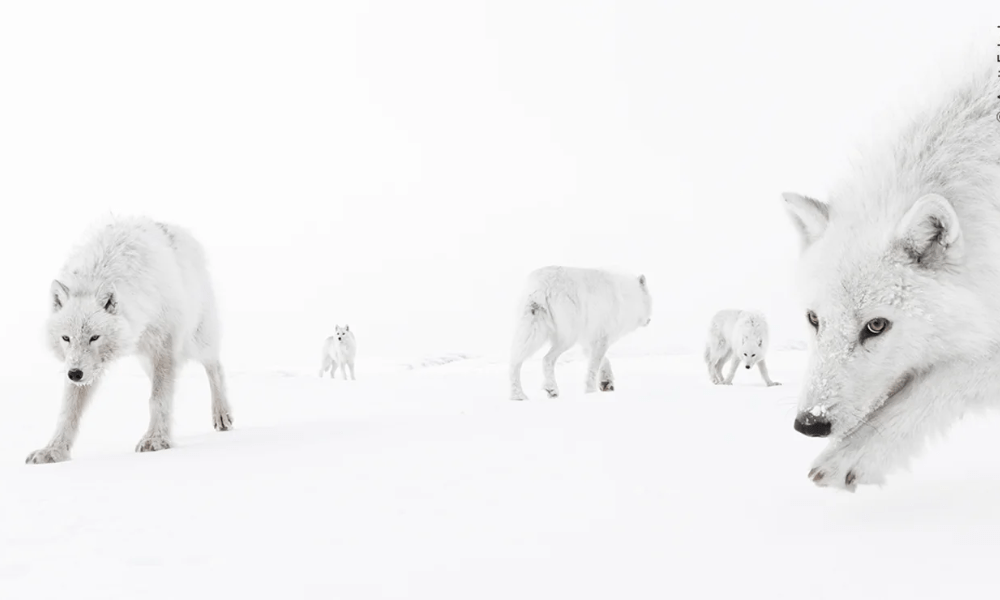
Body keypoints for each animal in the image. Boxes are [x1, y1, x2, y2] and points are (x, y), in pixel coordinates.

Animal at [26, 217, 234, 464]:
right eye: (66, 338)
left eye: (94, 337)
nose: (74, 374)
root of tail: (176, 228)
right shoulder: (82, 367)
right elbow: (68, 411)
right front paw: (53, 451)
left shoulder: (164, 347)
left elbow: (158, 399)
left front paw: (155, 439)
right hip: (146, 360)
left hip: (196, 340)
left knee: (215, 366)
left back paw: (222, 414)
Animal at [508, 266, 652, 401]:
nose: (649, 320)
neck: (628, 296)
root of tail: (542, 284)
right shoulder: (602, 340)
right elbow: (594, 367)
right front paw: (591, 392)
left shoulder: (589, 342)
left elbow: (604, 360)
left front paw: (606, 382)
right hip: (567, 339)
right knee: (546, 359)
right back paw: (551, 389)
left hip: (532, 333)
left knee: (515, 361)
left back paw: (519, 395)